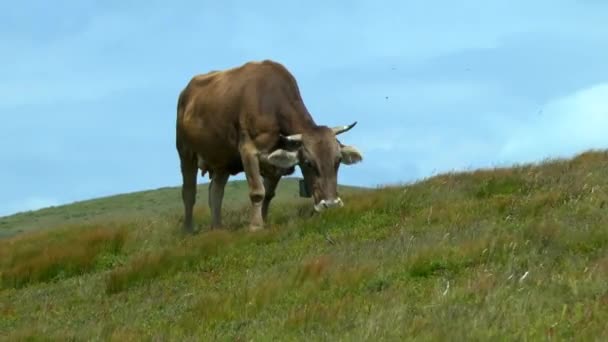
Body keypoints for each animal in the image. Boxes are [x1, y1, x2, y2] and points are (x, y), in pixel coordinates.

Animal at [173, 60, 364, 234]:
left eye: (338, 161)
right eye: (309, 163)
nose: (331, 205)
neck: (271, 103)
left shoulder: (276, 163)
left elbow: (269, 194)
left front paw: (264, 221)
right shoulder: (248, 150)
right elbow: (258, 192)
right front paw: (256, 226)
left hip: (222, 160)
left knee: (215, 192)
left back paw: (217, 229)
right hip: (185, 151)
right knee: (189, 192)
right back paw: (188, 230)